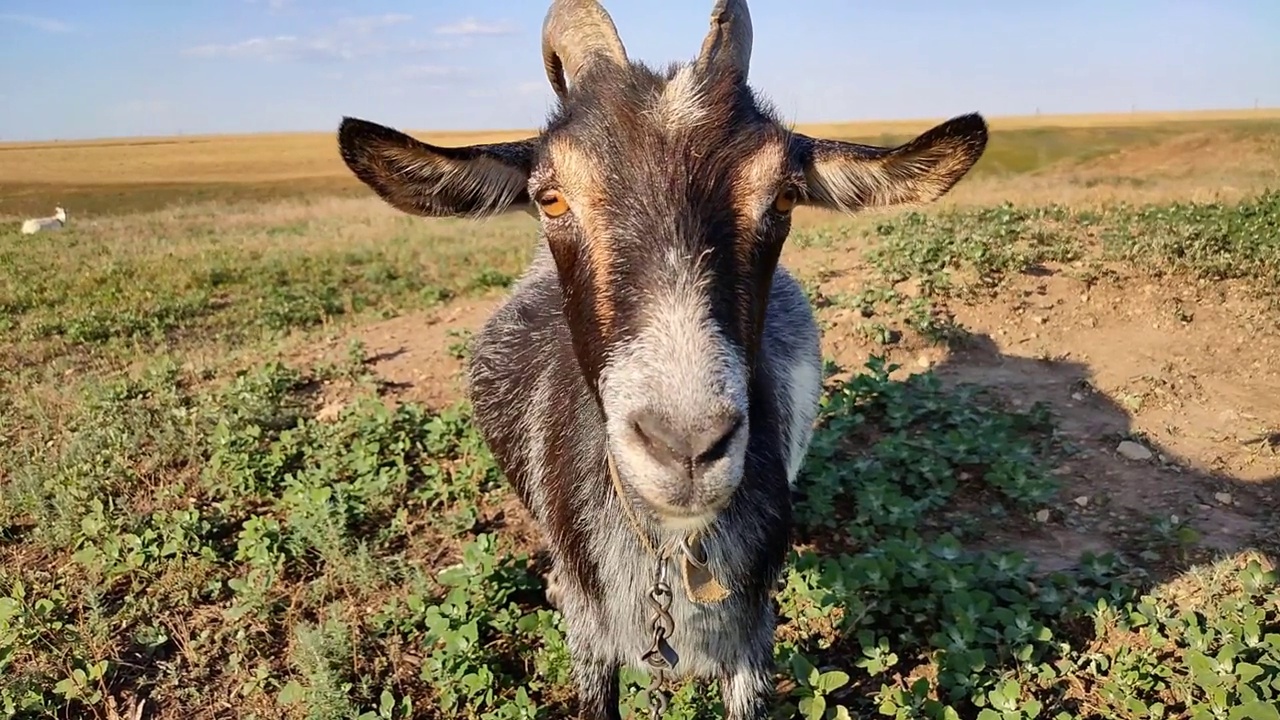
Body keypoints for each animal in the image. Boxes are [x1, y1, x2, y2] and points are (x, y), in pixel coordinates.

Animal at [332, 2, 988, 712]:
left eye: (785, 196)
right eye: (549, 197)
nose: (687, 446)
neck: (668, 547)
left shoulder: (752, 639)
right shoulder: (592, 642)